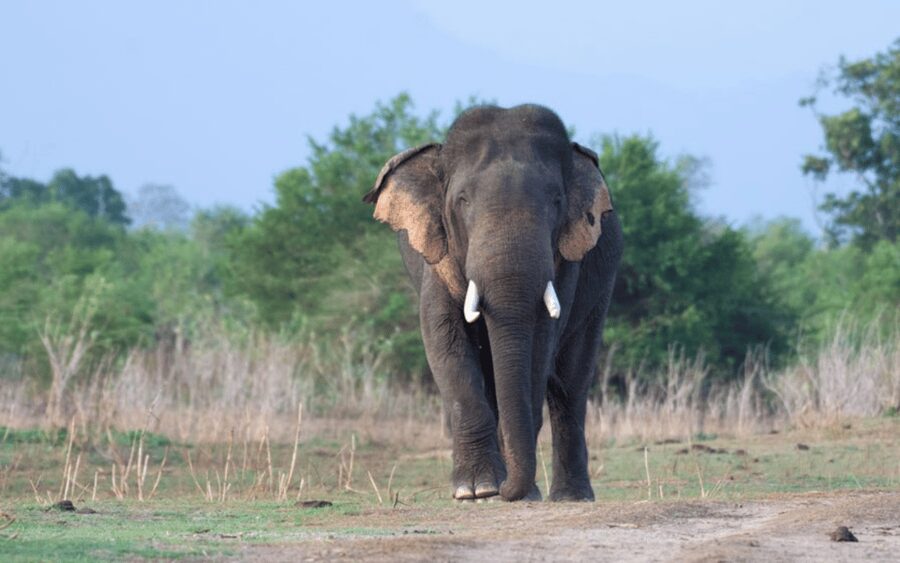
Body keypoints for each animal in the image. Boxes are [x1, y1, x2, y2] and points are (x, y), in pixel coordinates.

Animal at [363, 104, 622, 501]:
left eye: (557, 201)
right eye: (462, 201)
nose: (505, 490)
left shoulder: (566, 261)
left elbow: (540, 343)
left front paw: (513, 491)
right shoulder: (436, 256)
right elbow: (443, 337)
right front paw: (476, 490)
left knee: (572, 384)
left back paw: (571, 496)